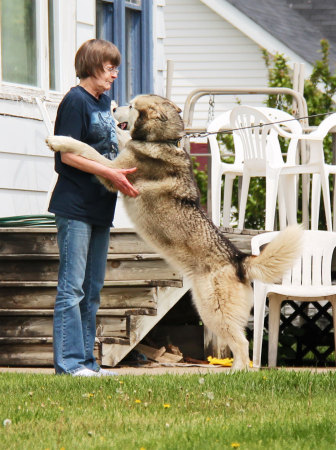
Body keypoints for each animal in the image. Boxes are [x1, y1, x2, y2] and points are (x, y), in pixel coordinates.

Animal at [45, 93, 302, 370]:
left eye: (131, 106)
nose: (113, 107)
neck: (161, 141)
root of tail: (239, 259)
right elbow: (120, 139)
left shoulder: (113, 171)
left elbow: (86, 149)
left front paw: (59, 141)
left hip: (214, 312)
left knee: (243, 347)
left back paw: (236, 373)